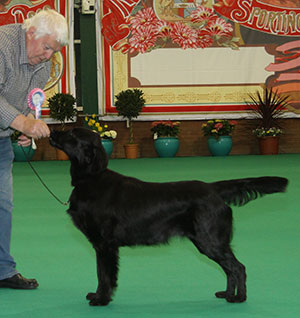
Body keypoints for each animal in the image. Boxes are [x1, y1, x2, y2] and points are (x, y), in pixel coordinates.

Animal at [49, 128, 288, 306]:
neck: (92, 179)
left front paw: (101, 299)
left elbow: (105, 275)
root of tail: (213, 189)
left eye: (72, 133)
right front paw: (98, 295)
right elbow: (101, 273)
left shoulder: (105, 244)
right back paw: (227, 294)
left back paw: (239, 298)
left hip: (210, 240)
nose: (51, 131)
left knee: (238, 267)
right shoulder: (101, 245)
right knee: (230, 268)